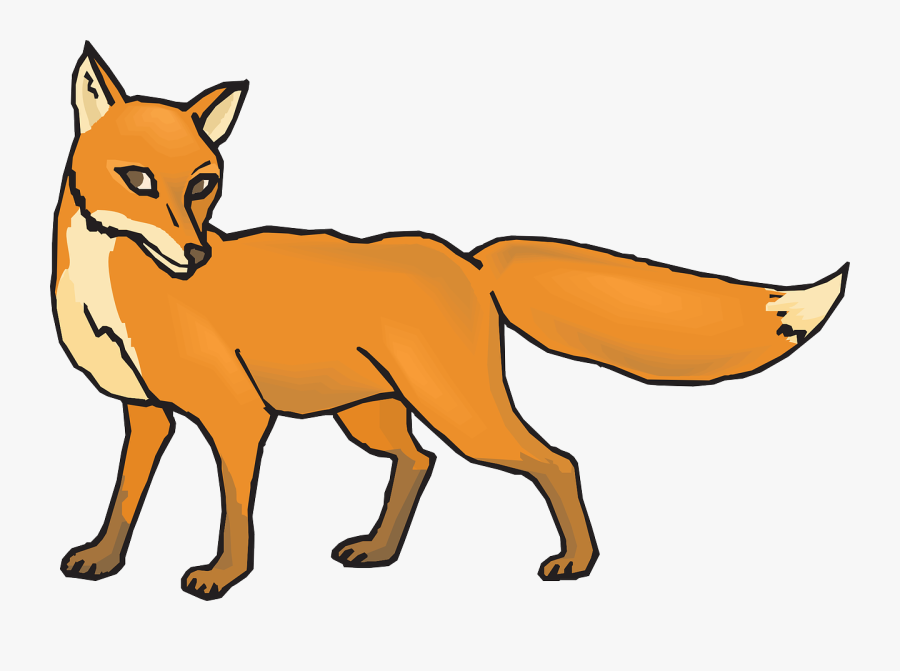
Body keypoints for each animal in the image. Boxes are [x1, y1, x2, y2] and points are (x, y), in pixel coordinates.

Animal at [53, 42, 848, 600]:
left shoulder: (237, 416)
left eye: (204, 183)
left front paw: (223, 576)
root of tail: (468, 258)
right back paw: (380, 550)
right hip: (371, 414)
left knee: (555, 460)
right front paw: (102, 559)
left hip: (460, 411)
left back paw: (577, 562)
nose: (196, 255)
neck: (108, 293)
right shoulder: (144, 413)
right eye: (139, 179)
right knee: (418, 461)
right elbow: (123, 499)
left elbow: (233, 512)